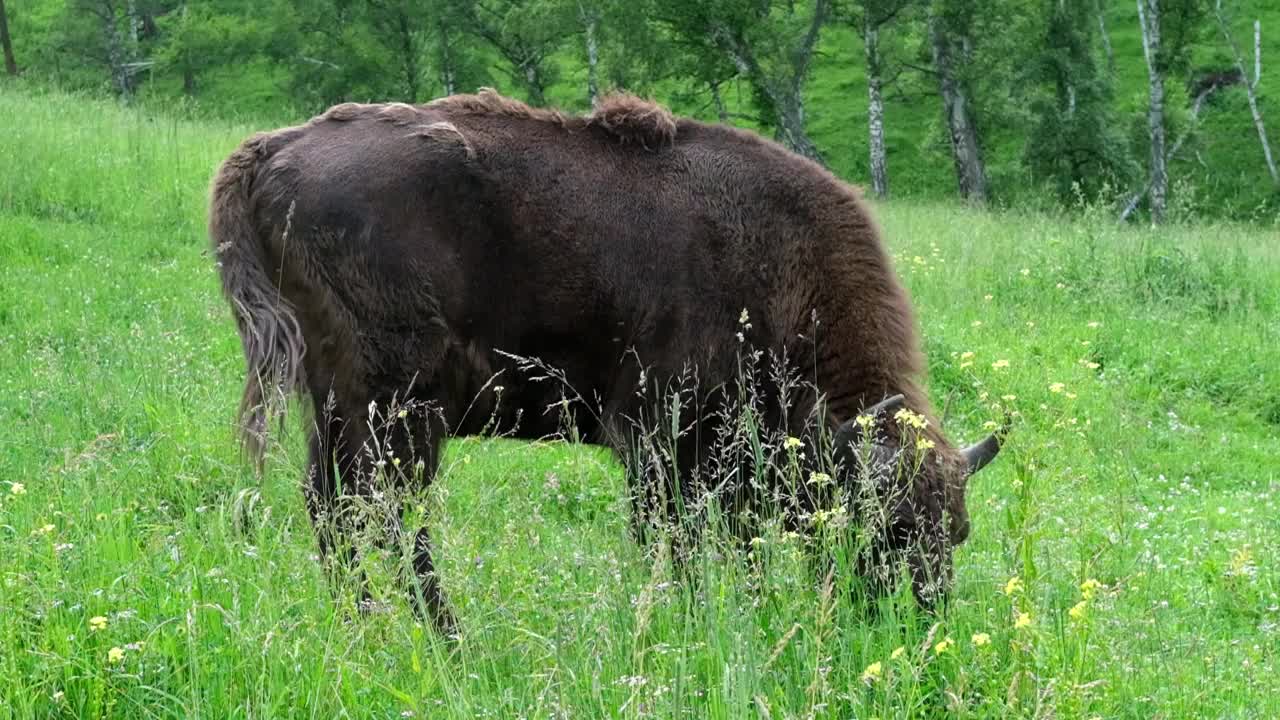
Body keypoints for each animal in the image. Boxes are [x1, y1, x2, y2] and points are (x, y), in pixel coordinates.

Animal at [209, 87, 1003, 630]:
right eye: (887, 527)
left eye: (957, 532)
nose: (914, 623)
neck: (778, 272)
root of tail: (271, 149)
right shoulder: (658, 442)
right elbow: (674, 545)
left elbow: (736, 546)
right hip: (398, 408)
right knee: (388, 516)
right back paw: (446, 638)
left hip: (336, 405)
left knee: (332, 507)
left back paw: (368, 628)